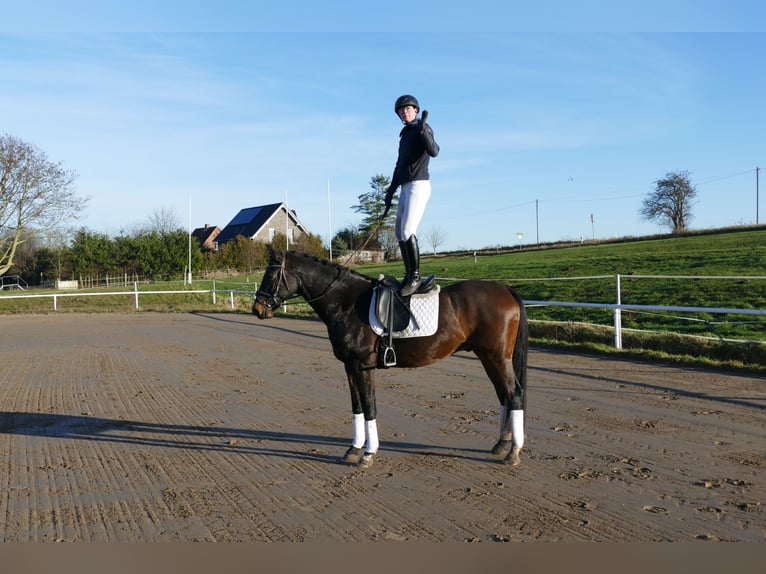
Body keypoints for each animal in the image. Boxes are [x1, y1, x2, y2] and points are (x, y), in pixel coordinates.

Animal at [252, 248, 528, 469]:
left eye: (272, 274)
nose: (257, 309)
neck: (345, 302)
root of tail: (505, 289)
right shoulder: (349, 367)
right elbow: (357, 407)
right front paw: (354, 449)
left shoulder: (363, 366)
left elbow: (370, 406)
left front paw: (368, 454)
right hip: (488, 357)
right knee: (504, 395)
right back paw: (501, 445)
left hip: (496, 358)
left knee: (514, 394)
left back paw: (513, 452)